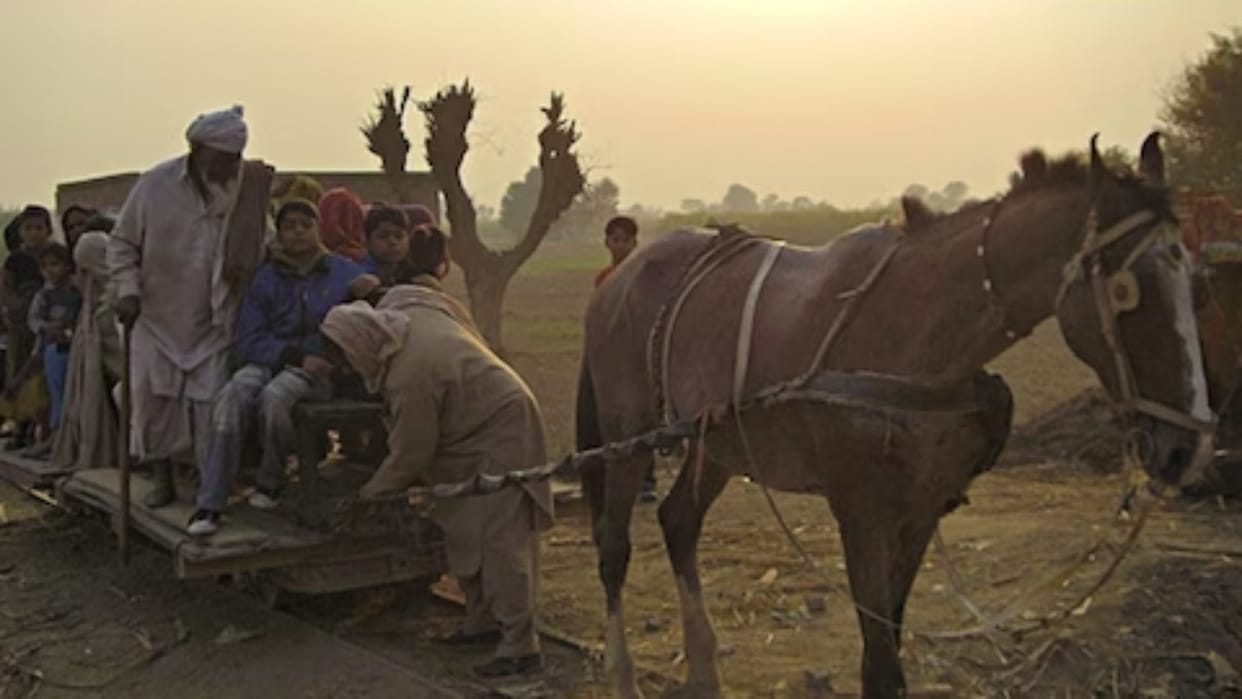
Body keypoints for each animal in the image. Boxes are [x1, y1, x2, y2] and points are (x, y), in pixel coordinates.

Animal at [575, 133, 1213, 698]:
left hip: (718, 439)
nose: (1189, 446)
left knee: (679, 521)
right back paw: (622, 676)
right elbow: (881, 662)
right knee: (613, 546)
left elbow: (890, 647)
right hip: (629, 432)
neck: (914, 331)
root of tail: (621, 276)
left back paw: (704, 669)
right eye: (1127, 291)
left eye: (1195, 280)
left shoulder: (922, 506)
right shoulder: (861, 511)